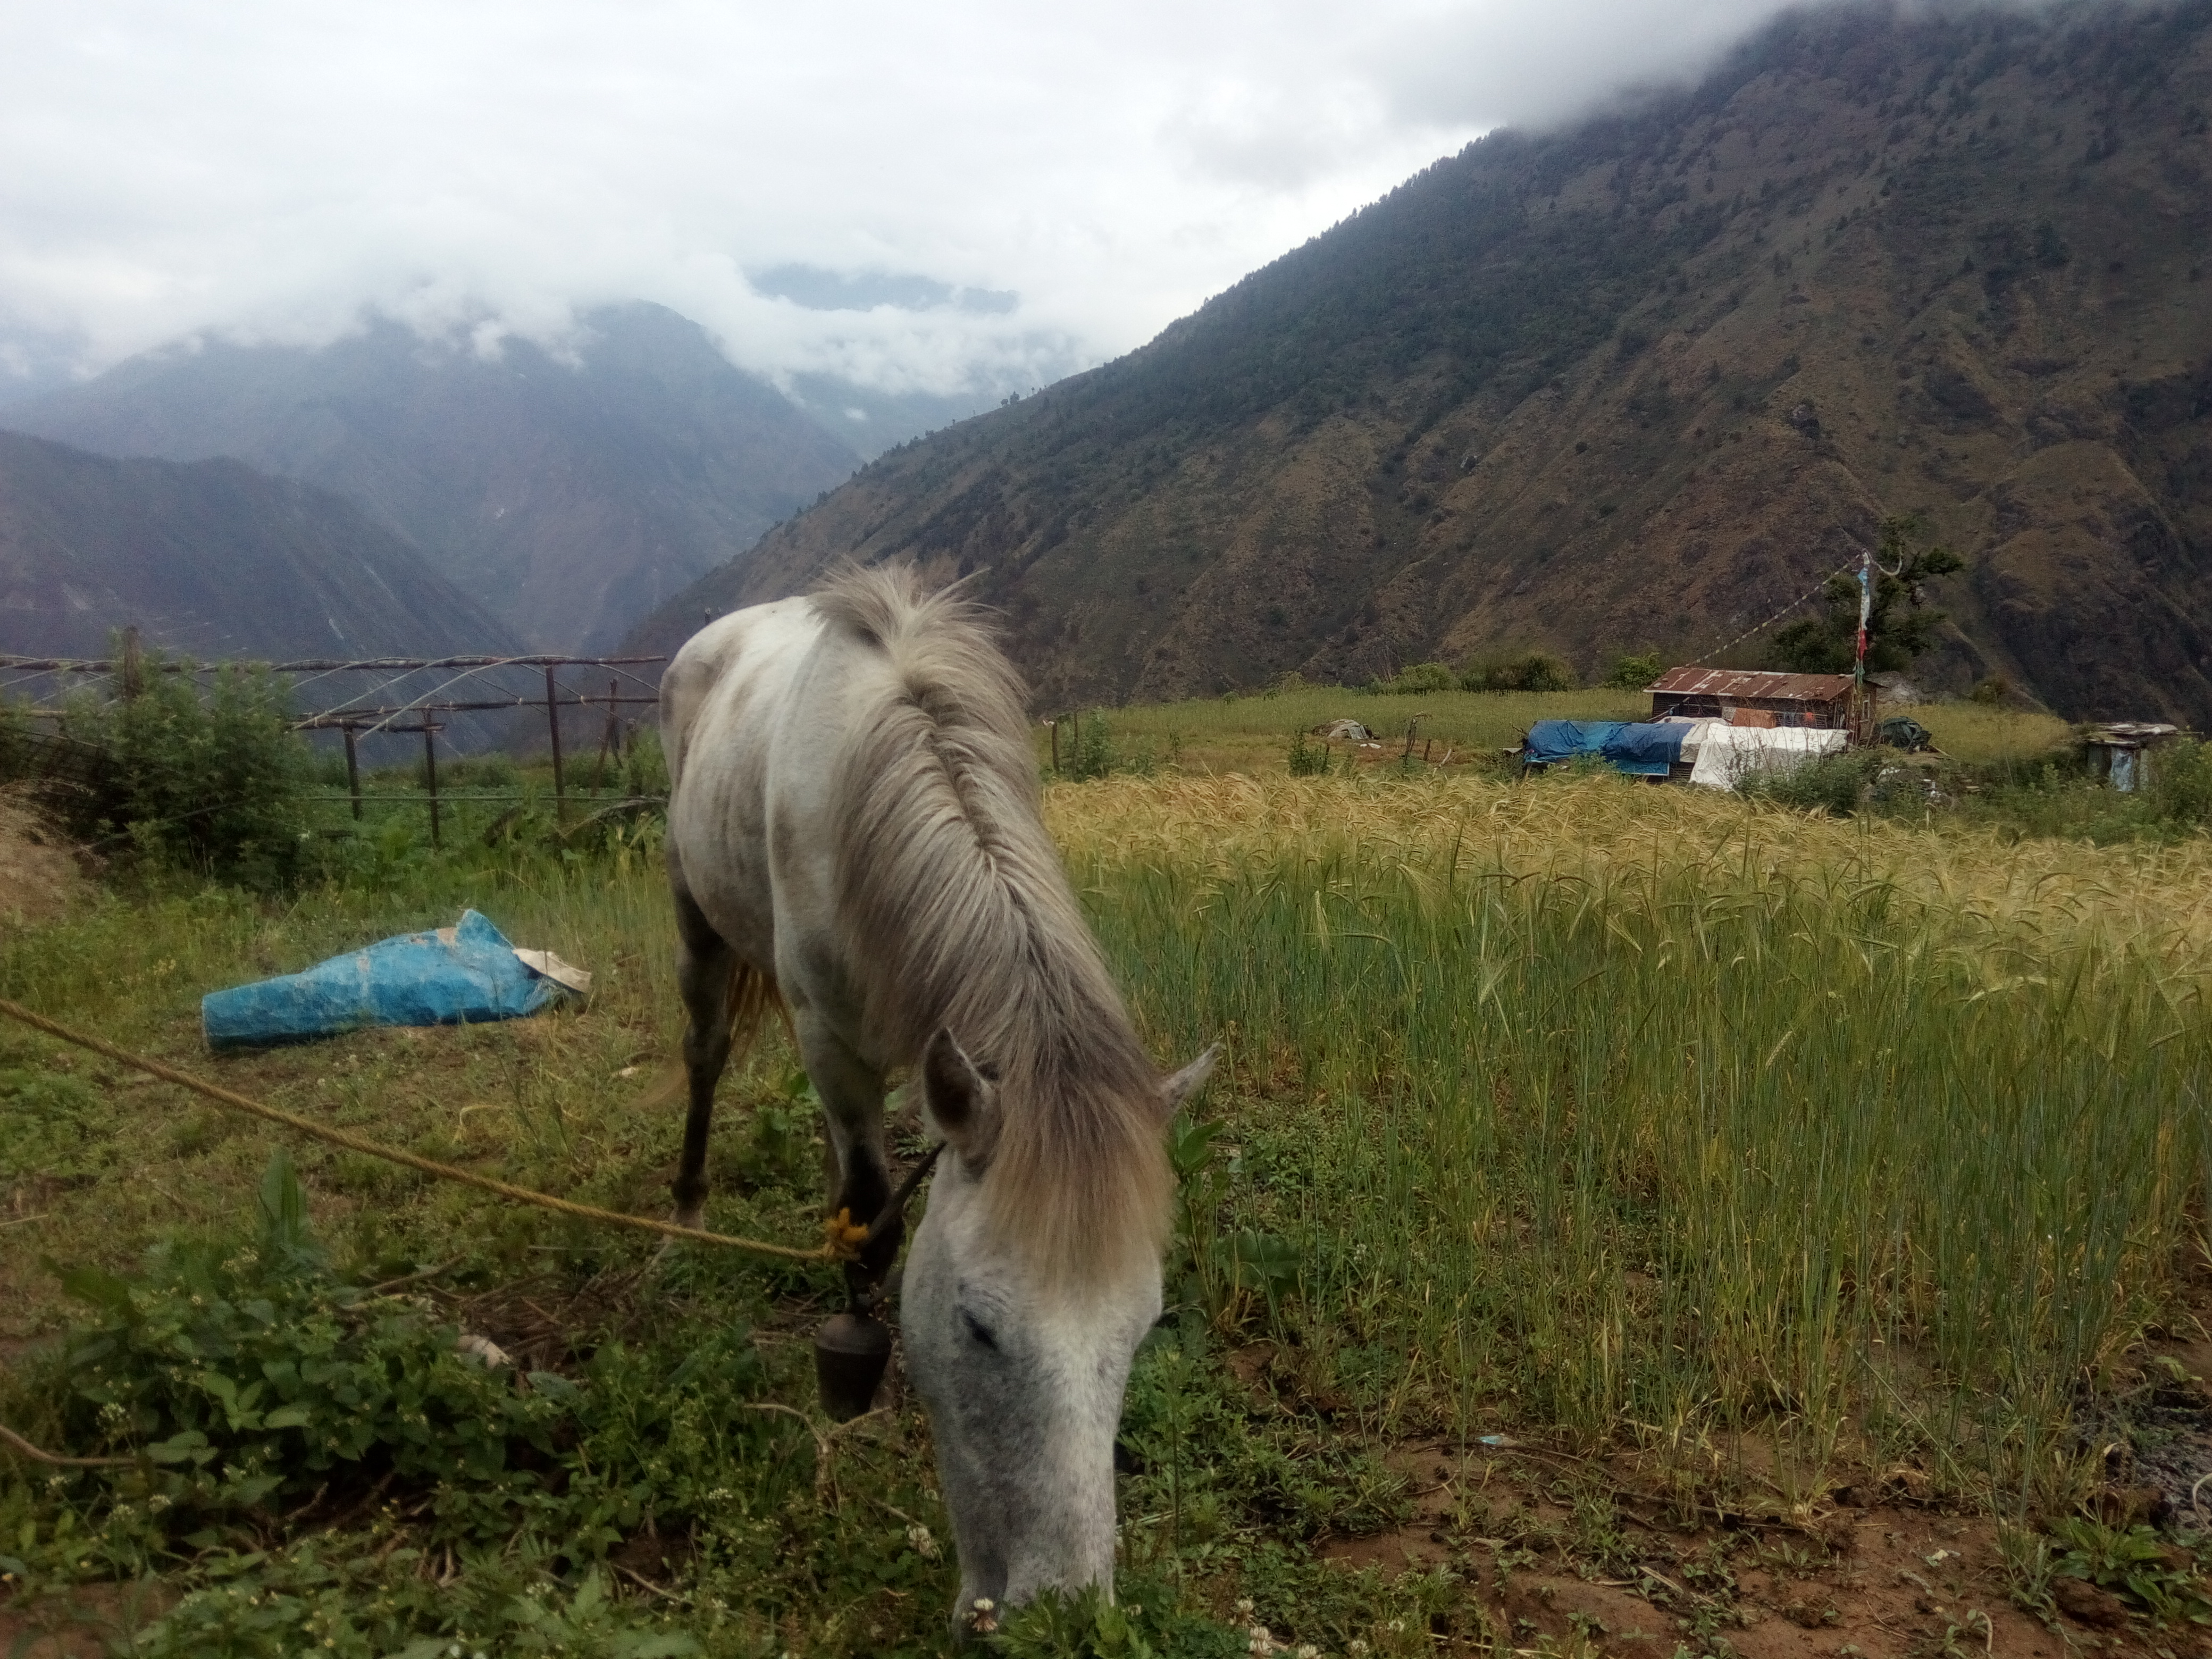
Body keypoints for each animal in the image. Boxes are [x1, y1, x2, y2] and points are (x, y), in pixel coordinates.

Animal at [658, 564, 1217, 1622]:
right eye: (977, 1327)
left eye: (1143, 1330)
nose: (1062, 1608)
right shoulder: (830, 1044)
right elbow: (874, 1213)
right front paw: (855, 1367)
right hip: (696, 917)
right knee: (705, 1055)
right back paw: (686, 1216)